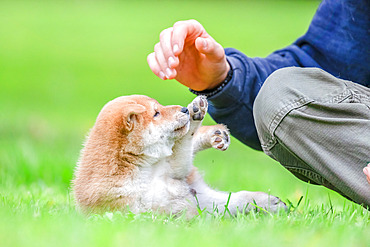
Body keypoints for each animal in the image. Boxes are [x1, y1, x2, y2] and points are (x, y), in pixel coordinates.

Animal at [72, 95, 286, 216]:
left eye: (159, 107)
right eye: (156, 113)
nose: (183, 109)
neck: (143, 168)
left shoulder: (173, 170)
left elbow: (183, 143)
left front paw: (196, 112)